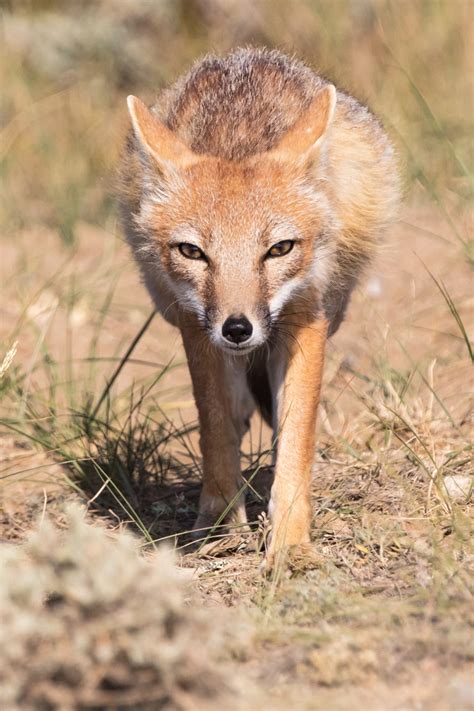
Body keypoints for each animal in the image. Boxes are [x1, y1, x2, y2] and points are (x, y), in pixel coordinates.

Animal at [118, 46, 400, 568]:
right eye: (192, 252)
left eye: (279, 249)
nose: (237, 329)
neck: (238, 138)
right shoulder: (196, 327)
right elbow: (215, 431)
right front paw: (222, 526)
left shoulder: (306, 318)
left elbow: (295, 442)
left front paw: (289, 543)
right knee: (237, 408)